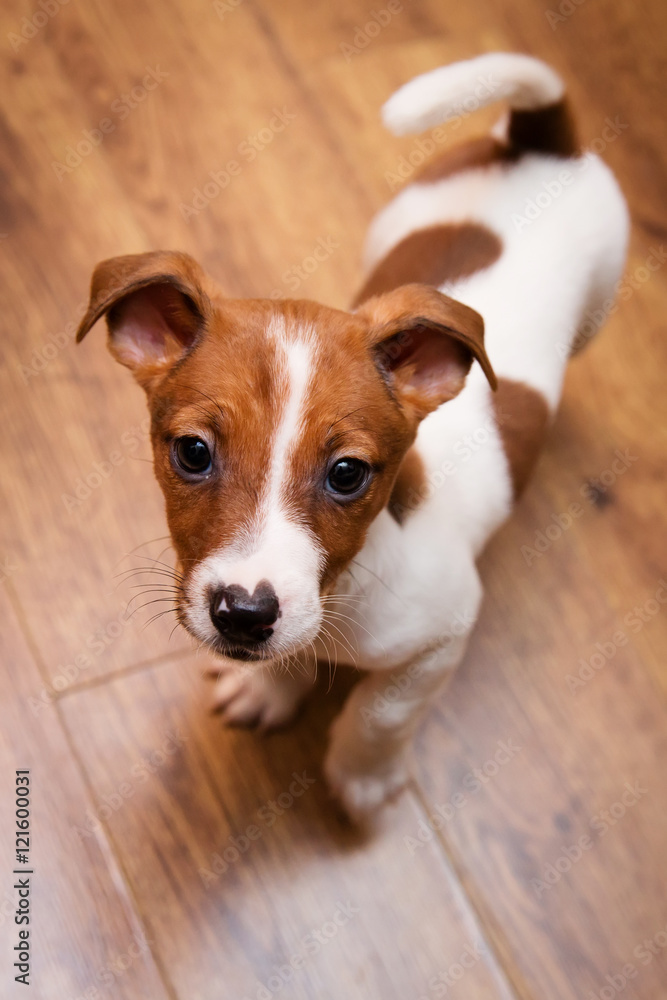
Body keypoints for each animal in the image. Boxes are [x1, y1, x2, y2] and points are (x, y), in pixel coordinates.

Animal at [78, 54, 632, 816]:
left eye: (347, 474)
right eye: (192, 453)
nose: (243, 615)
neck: (345, 589)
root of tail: (542, 144)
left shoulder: (444, 634)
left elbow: (382, 710)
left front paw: (360, 774)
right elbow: (292, 661)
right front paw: (270, 688)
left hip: (600, 303)